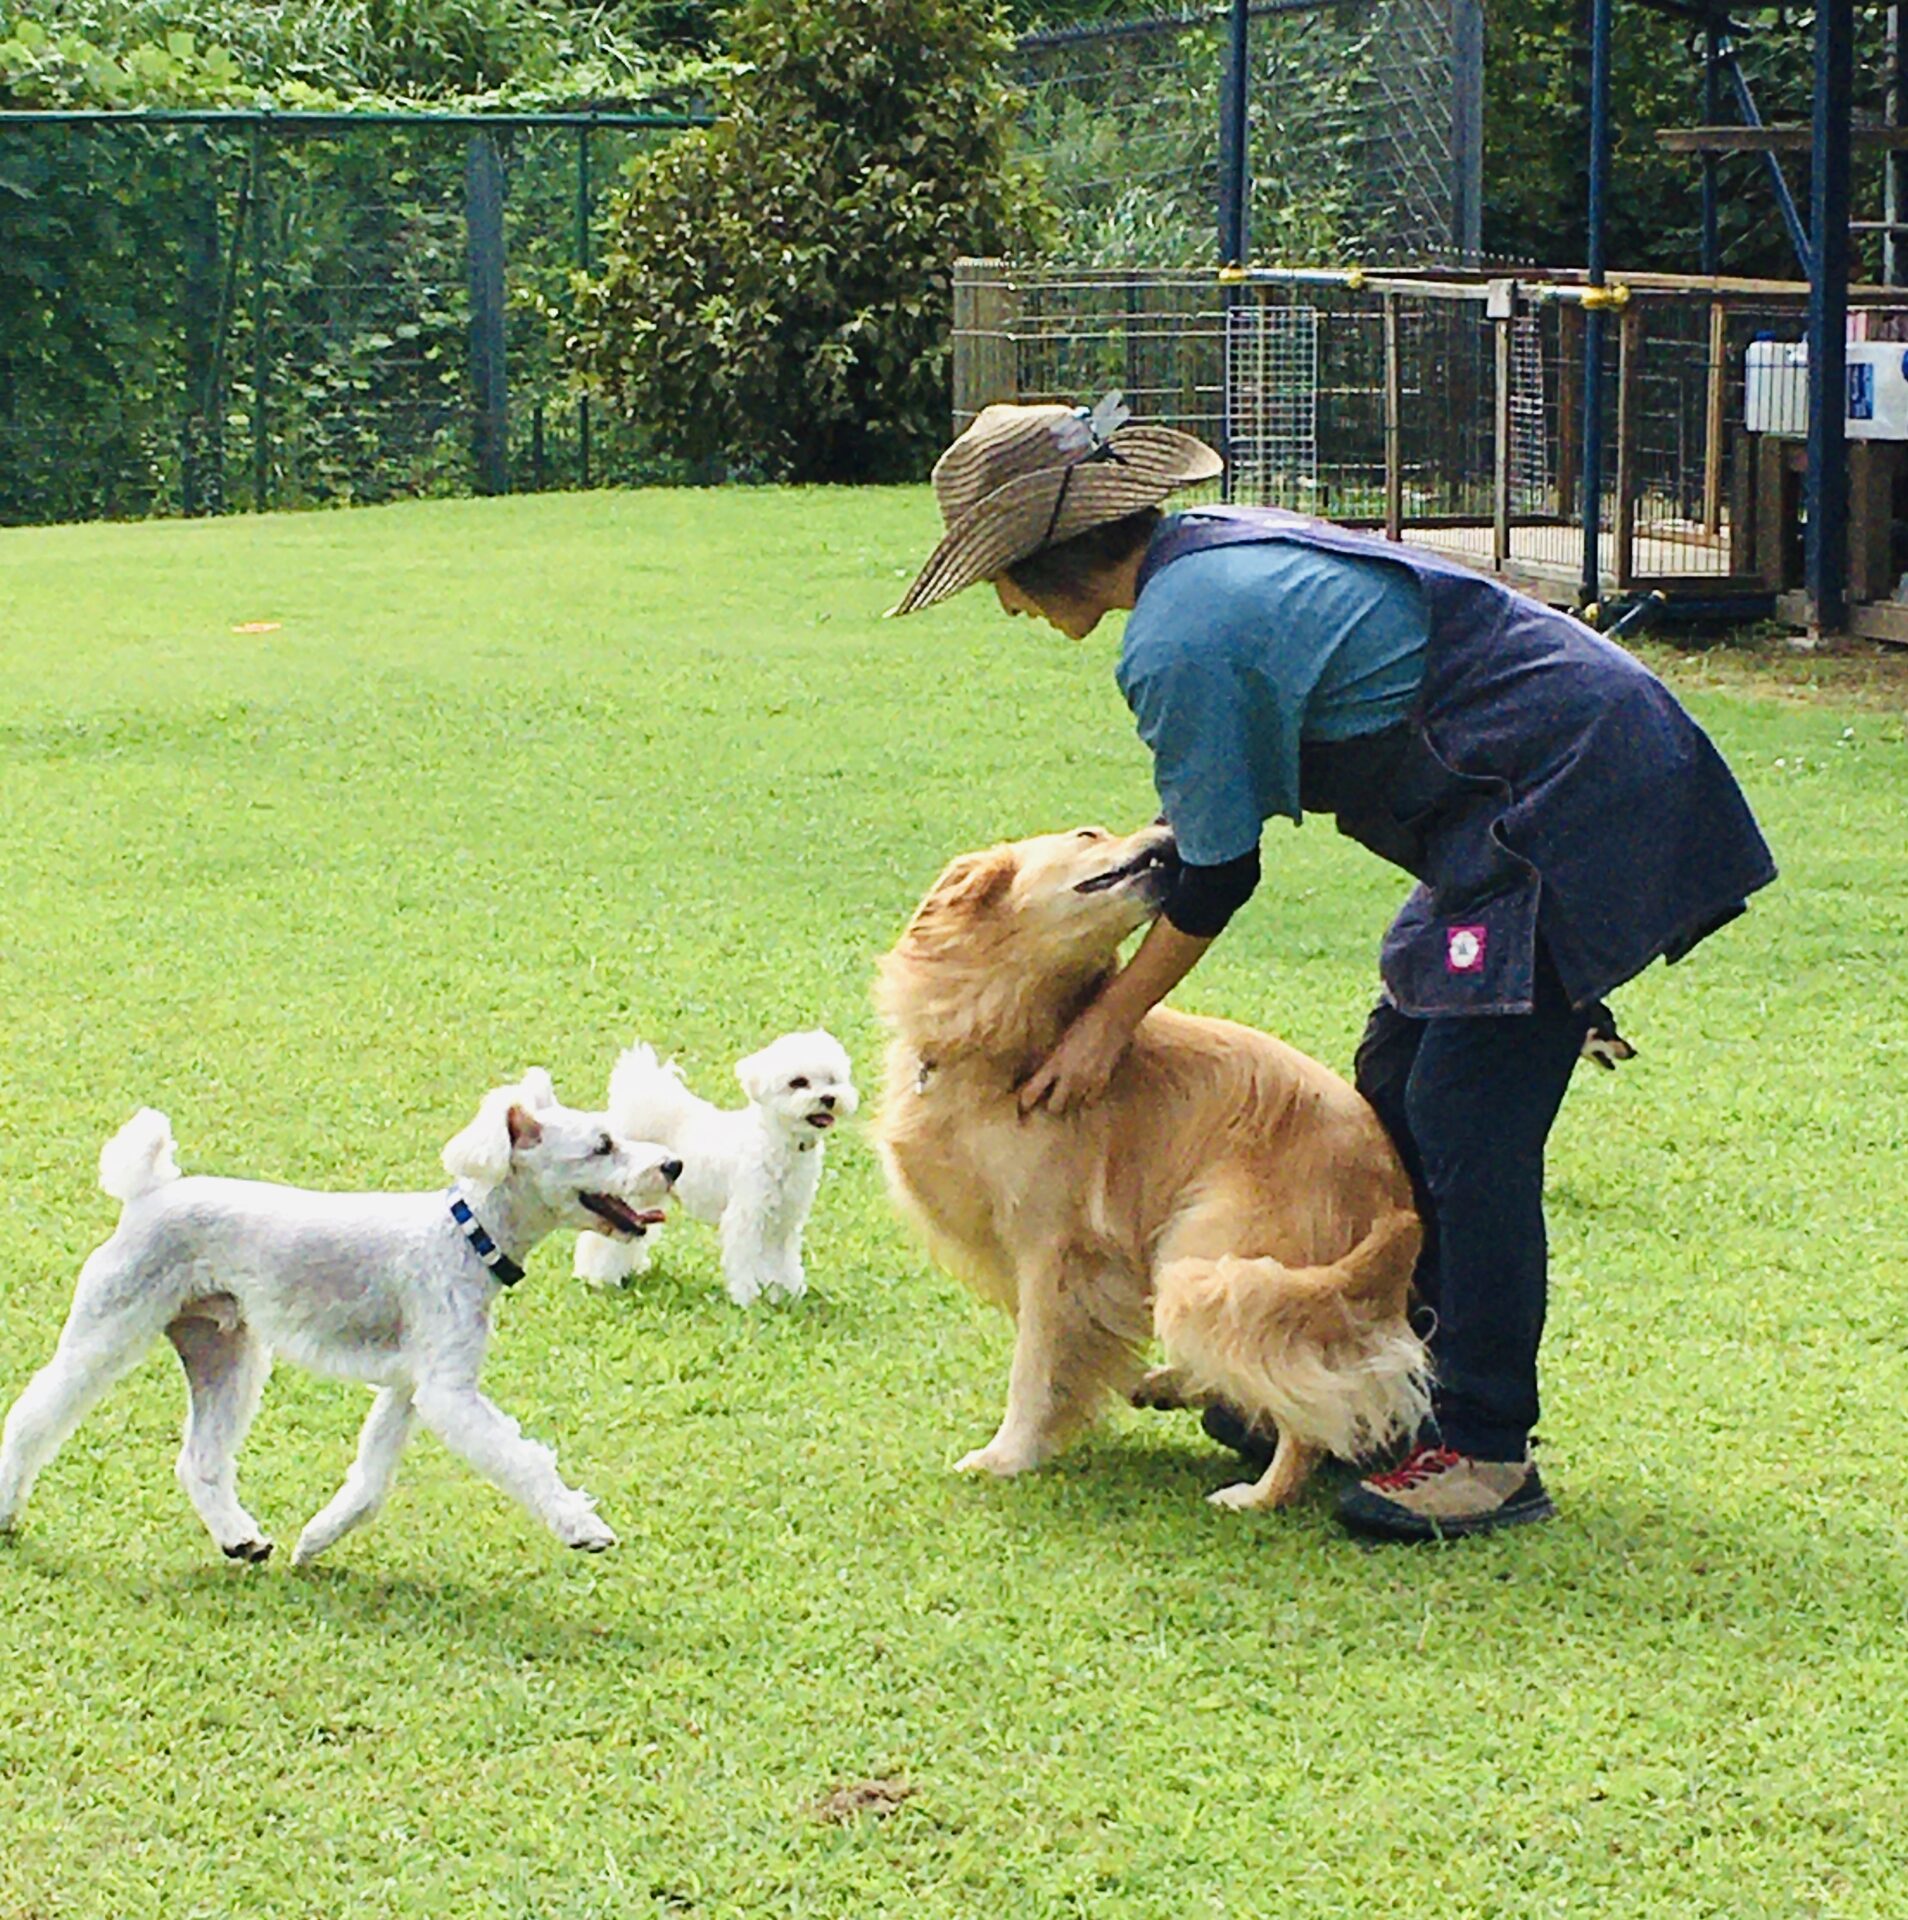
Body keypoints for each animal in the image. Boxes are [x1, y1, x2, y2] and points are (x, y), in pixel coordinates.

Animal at [0, 1072, 680, 1564]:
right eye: (602, 1145)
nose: (672, 1166)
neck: (465, 1234)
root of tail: (148, 1192)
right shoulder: (448, 1391)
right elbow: (521, 1457)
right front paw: (581, 1525)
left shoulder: (408, 1386)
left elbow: (370, 1479)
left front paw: (317, 1538)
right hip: (105, 1332)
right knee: (31, 1418)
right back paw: (7, 1512)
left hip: (228, 1356)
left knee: (200, 1459)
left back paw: (240, 1539)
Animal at [574, 1032, 857, 1306]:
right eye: (798, 1082)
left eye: (832, 1080)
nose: (828, 1098)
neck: (779, 1142)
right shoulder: (747, 1214)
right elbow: (746, 1259)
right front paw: (747, 1297)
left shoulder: (785, 1218)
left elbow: (783, 1261)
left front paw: (787, 1293)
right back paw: (596, 1276)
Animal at [874, 823, 1429, 1513]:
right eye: (1089, 834)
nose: (1168, 832)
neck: (1008, 1035)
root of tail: (1397, 1202)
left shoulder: (1055, 1249)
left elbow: (1035, 1361)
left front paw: (1009, 1454)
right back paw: (1167, 1385)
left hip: (1215, 1255)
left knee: (1310, 1403)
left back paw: (1256, 1494)